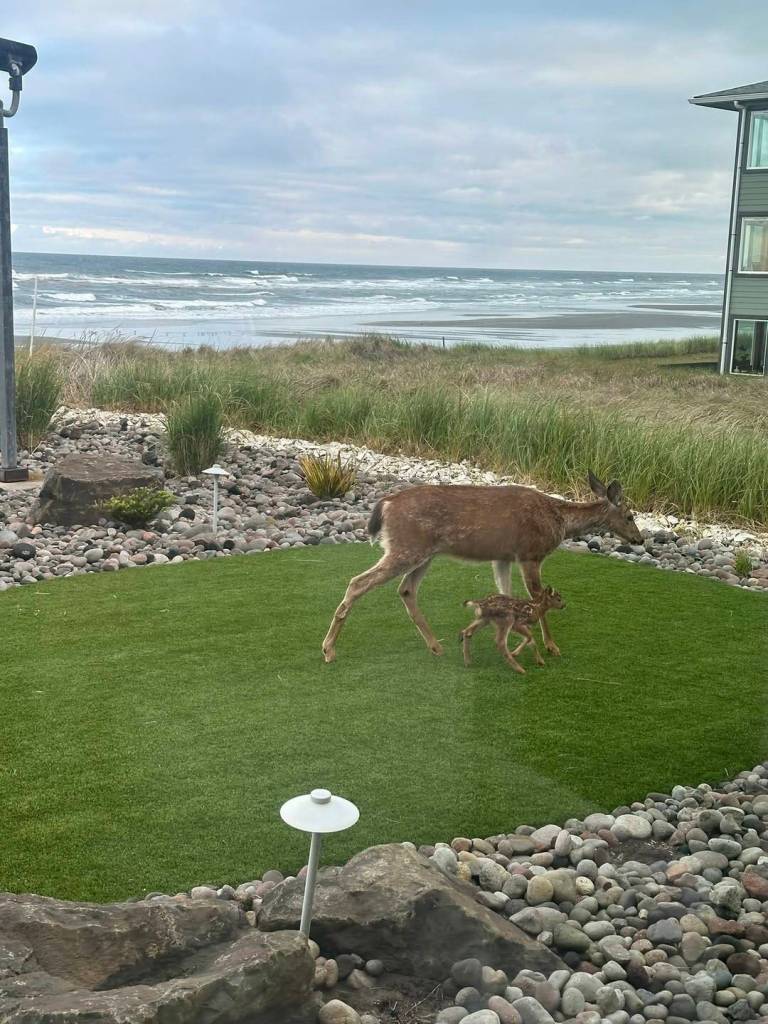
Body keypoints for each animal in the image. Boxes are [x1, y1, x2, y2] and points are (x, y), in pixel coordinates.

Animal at [321, 471, 643, 663]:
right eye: (630, 516)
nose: (640, 539)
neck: (559, 520)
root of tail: (385, 504)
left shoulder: (502, 557)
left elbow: (507, 595)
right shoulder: (530, 554)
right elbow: (539, 600)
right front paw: (551, 647)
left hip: (425, 553)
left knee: (406, 590)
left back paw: (436, 646)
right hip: (407, 548)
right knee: (358, 582)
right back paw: (328, 649)